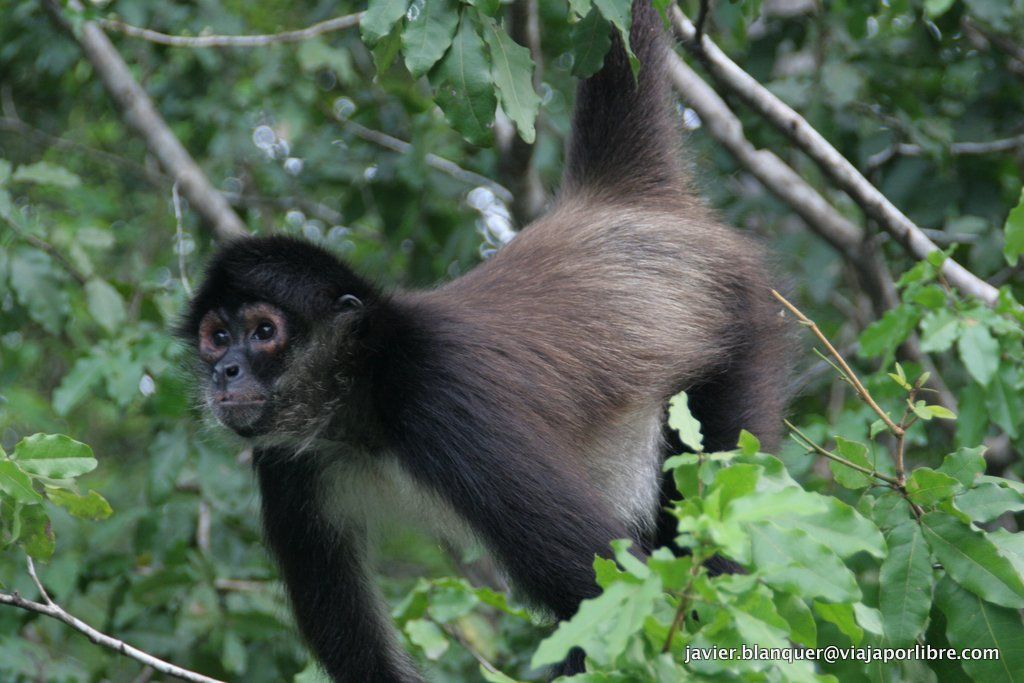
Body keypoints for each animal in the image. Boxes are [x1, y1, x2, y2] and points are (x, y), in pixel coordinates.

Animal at [178, 2, 788, 680]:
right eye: (217, 337)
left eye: (264, 333)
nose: (226, 372)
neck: (363, 410)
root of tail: (613, 201)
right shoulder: (288, 465)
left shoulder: (441, 398)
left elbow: (615, 590)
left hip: (738, 335)